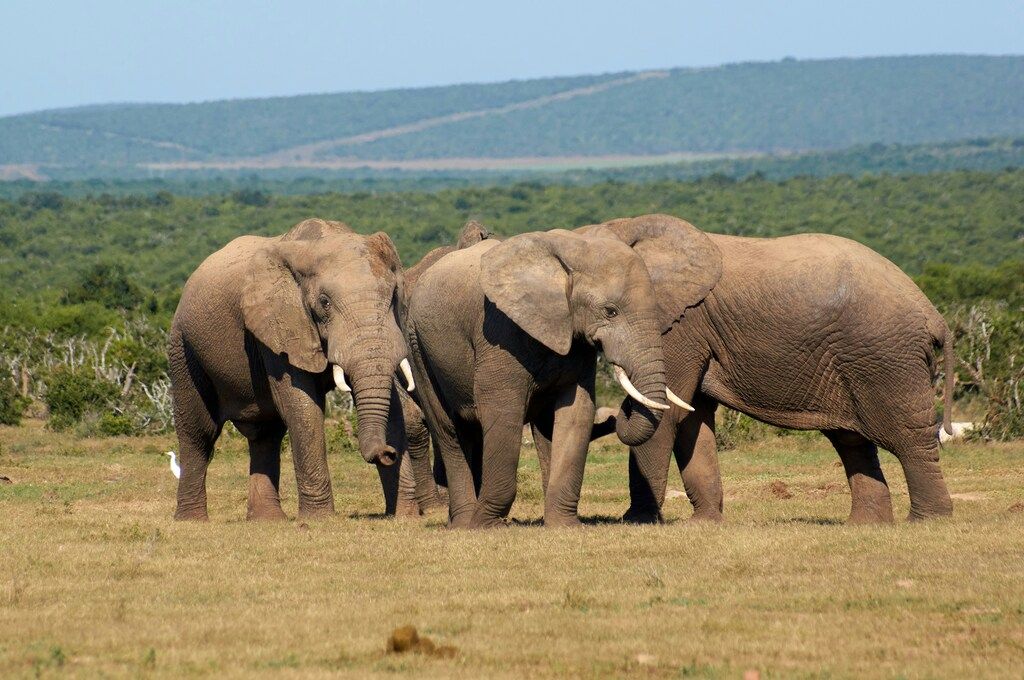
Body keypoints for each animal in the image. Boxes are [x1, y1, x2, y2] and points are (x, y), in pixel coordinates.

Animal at [168, 218, 416, 521]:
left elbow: (394, 406)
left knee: (266, 435)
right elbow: (301, 407)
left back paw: (267, 521)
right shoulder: (277, 326)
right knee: (199, 432)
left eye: (393, 297)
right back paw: (192, 520)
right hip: (183, 347)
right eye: (324, 302)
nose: (388, 452)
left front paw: (404, 517)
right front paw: (320, 520)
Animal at [405, 228, 696, 528]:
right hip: (418, 345)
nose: (620, 412)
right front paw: (486, 525)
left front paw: (565, 526)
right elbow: (502, 411)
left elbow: (577, 412)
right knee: (448, 430)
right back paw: (465, 523)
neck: (570, 251)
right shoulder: (499, 331)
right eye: (610, 311)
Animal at [555, 214, 954, 524]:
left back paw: (926, 521)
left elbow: (669, 414)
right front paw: (704, 524)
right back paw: (865, 525)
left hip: (886, 357)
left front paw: (637, 521)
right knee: (852, 441)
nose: (613, 414)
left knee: (906, 436)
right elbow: (693, 418)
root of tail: (933, 314)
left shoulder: (678, 323)